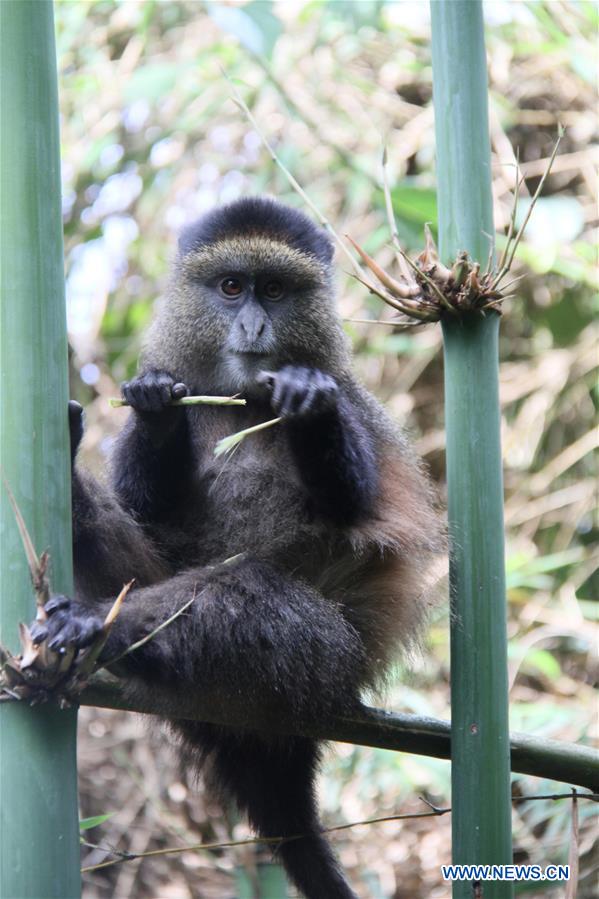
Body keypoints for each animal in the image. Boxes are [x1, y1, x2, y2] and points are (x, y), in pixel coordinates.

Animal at [32, 197, 444, 899]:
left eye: (273, 290)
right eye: (231, 287)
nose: (252, 322)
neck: (245, 401)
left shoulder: (353, 400)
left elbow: (356, 506)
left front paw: (307, 404)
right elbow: (145, 506)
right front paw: (154, 408)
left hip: (323, 661)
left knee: (249, 598)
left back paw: (97, 626)